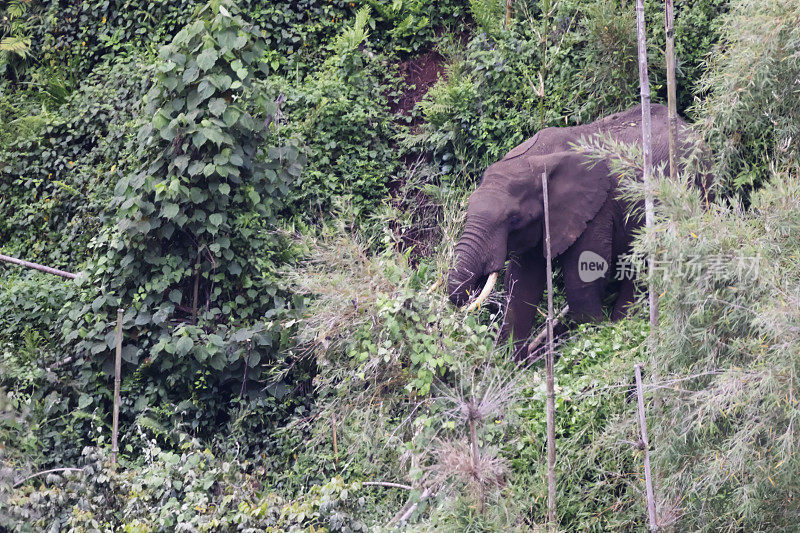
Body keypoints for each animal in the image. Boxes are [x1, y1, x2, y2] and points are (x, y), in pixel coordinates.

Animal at [446, 102, 716, 356]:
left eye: (513, 219)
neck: (536, 160)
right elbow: (521, 283)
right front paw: (510, 365)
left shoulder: (597, 207)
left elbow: (583, 276)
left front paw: (595, 339)